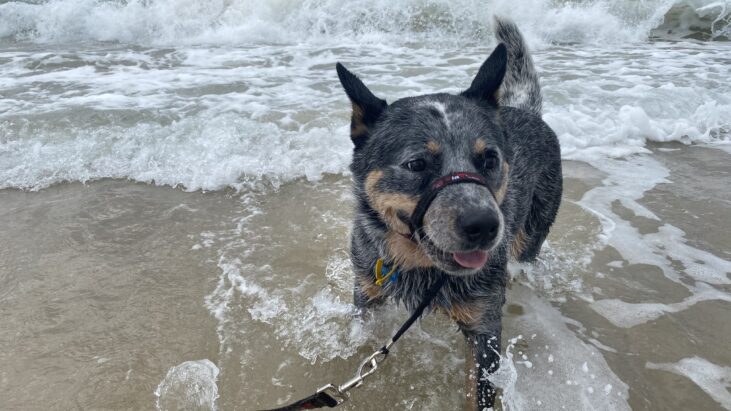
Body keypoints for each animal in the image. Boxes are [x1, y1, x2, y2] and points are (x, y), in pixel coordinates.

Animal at [334, 17, 564, 410]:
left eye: (490, 158)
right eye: (416, 163)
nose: (485, 226)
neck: (421, 269)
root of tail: (526, 112)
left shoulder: (484, 327)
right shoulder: (367, 290)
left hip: (534, 228)